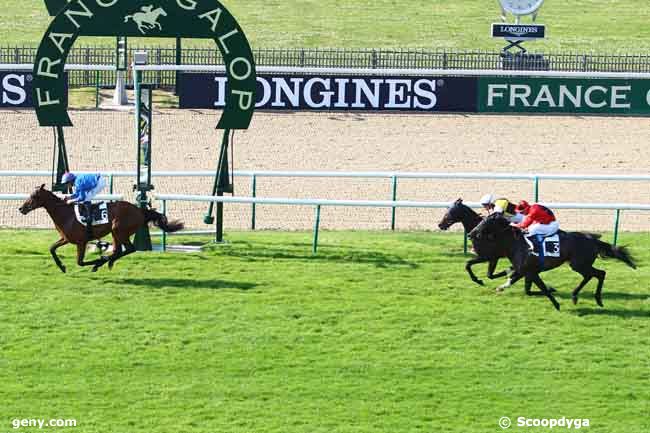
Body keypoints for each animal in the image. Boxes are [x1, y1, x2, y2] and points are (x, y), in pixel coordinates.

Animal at [19, 184, 182, 272]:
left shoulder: (81, 242)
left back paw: (103, 262)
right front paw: (62, 267)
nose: (21, 208)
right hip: (117, 233)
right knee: (119, 250)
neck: (66, 214)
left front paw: (97, 261)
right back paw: (108, 261)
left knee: (129, 249)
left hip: (118, 230)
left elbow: (80, 262)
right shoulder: (66, 238)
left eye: (33, 196)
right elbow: (52, 248)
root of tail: (140, 210)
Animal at [468, 213, 636, 308]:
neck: (516, 243)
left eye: (486, 221)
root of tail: (592, 239)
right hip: (579, 265)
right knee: (593, 275)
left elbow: (541, 288)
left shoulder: (531, 272)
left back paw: (596, 299)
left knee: (600, 273)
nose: (471, 234)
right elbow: (527, 289)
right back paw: (576, 296)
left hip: (579, 264)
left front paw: (556, 304)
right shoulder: (526, 272)